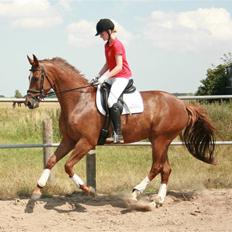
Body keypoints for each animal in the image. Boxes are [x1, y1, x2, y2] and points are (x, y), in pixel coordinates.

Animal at [25, 54, 216, 207]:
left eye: (36, 77)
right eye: (29, 76)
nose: (29, 102)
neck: (79, 100)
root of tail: (182, 104)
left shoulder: (87, 142)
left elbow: (68, 166)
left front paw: (88, 190)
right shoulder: (69, 140)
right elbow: (51, 161)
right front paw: (36, 191)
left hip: (160, 140)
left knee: (156, 167)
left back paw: (135, 193)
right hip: (162, 141)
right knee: (165, 168)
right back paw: (159, 200)